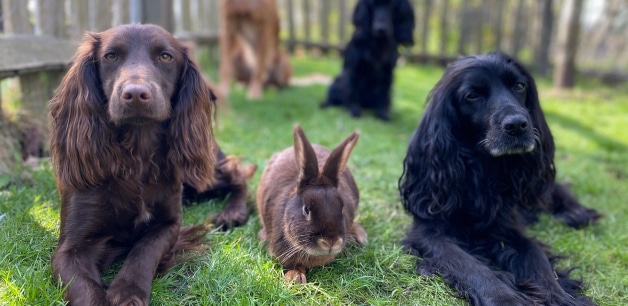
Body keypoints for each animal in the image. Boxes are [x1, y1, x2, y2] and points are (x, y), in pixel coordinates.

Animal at [400, 51, 600, 304]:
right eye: (472, 95)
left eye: (519, 86)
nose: (517, 125)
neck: (483, 170)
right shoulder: (430, 231)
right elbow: (470, 265)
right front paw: (505, 298)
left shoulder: (508, 226)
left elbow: (538, 260)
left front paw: (561, 297)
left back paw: (576, 213)